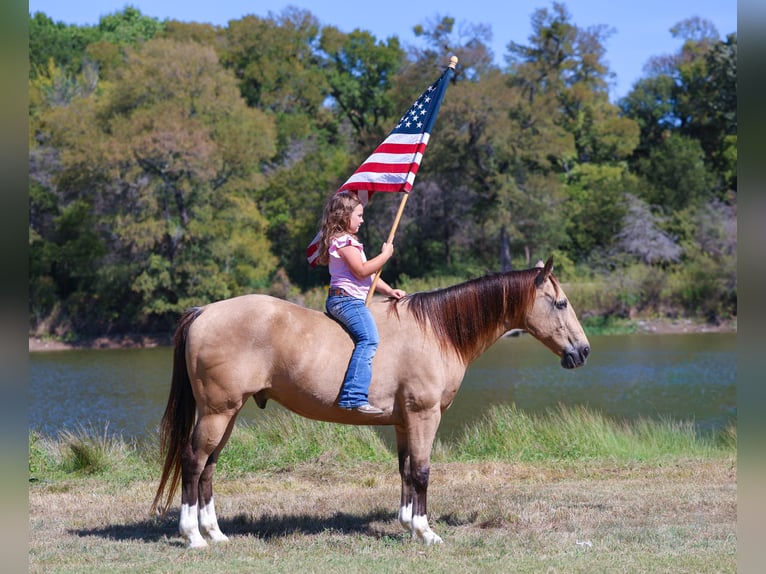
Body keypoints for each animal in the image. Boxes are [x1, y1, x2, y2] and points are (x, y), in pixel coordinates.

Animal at [151, 257, 590, 548]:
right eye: (561, 303)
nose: (583, 351)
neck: (436, 331)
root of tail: (204, 311)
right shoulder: (424, 416)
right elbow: (423, 472)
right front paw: (426, 531)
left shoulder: (403, 421)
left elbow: (406, 471)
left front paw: (407, 522)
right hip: (217, 411)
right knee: (193, 463)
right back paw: (193, 537)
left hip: (227, 413)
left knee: (208, 467)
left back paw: (216, 533)